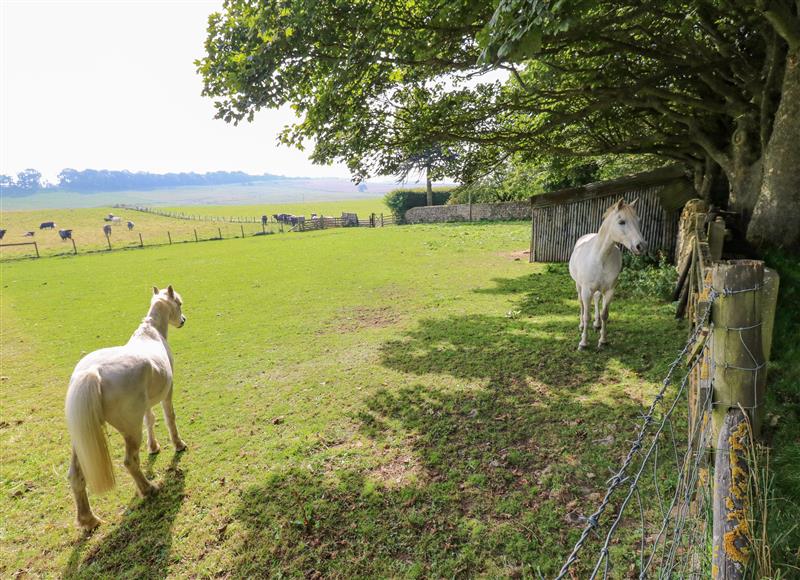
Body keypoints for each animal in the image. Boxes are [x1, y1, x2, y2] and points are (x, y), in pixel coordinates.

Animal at [65, 286, 188, 532]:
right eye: (178, 303)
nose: (183, 320)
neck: (152, 334)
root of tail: (92, 372)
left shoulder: (146, 404)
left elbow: (150, 419)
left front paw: (154, 447)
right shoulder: (167, 393)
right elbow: (169, 417)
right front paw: (178, 444)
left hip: (81, 439)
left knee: (76, 476)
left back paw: (89, 520)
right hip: (131, 429)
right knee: (130, 461)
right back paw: (148, 489)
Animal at [564, 201, 648, 348]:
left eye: (638, 220)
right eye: (621, 222)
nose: (641, 246)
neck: (600, 257)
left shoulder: (609, 291)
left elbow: (605, 314)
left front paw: (603, 340)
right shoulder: (586, 291)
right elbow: (586, 315)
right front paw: (583, 343)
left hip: (599, 290)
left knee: (597, 299)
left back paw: (597, 324)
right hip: (579, 286)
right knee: (581, 303)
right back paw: (581, 325)